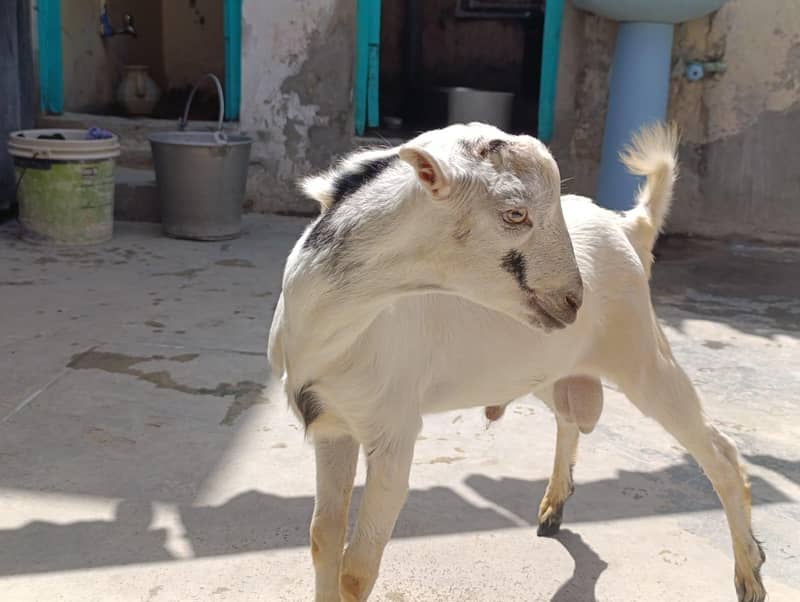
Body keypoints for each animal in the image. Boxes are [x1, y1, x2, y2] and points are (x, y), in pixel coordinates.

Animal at [268, 122, 766, 602]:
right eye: (515, 213)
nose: (573, 300)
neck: (337, 325)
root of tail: (629, 227)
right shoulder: (333, 425)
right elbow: (323, 539)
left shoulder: (393, 433)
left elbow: (356, 571)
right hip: (548, 370)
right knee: (568, 418)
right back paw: (553, 508)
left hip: (641, 356)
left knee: (720, 453)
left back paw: (750, 573)